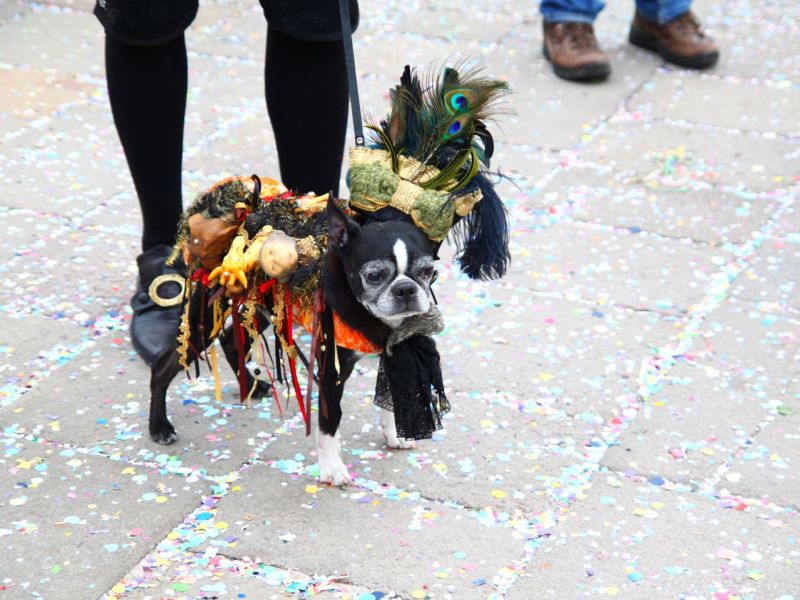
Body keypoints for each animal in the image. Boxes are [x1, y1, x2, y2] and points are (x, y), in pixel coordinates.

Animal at [147, 199, 440, 486]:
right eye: (374, 275)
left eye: (428, 270)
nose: (405, 289)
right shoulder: (330, 372)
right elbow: (329, 422)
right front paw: (332, 468)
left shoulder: (393, 352)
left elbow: (390, 398)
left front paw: (395, 434)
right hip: (205, 319)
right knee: (163, 368)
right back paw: (159, 426)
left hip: (268, 307)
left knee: (229, 339)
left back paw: (251, 386)